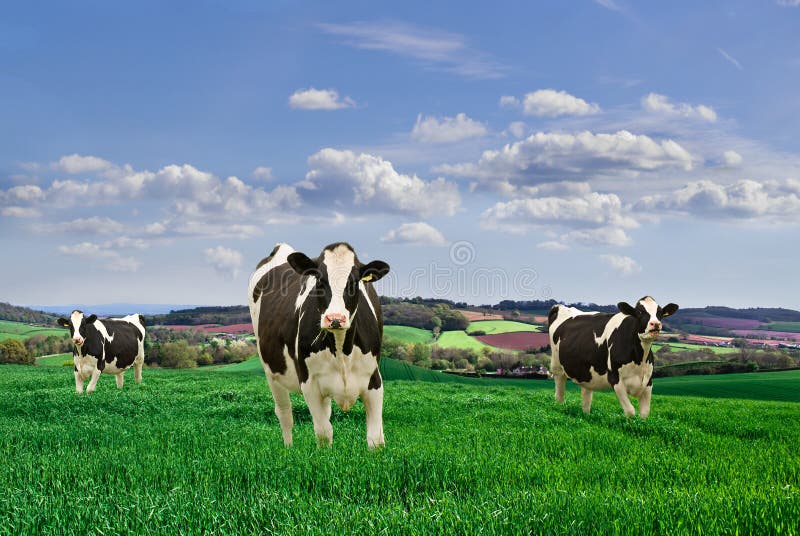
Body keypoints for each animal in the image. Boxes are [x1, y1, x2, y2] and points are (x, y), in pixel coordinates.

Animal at [247, 243, 390, 448]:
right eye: (320, 281)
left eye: (354, 283)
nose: (335, 319)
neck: (341, 349)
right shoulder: (310, 384)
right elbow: (324, 433)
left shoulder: (374, 380)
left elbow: (375, 437)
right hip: (271, 372)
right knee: (284, 413)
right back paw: (288, 448)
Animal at [548, 298, 680, 418]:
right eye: (639, 312)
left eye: (660, 312)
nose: (656, 324)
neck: (639, 359)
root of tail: (561, 307)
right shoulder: (615, 379)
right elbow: (630, 411)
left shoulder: (648, 382)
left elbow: (645, 413)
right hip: (557, 367)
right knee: (559, 395)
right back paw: (560, 411)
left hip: (586, 373)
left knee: (586, 397)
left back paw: (586, 417)